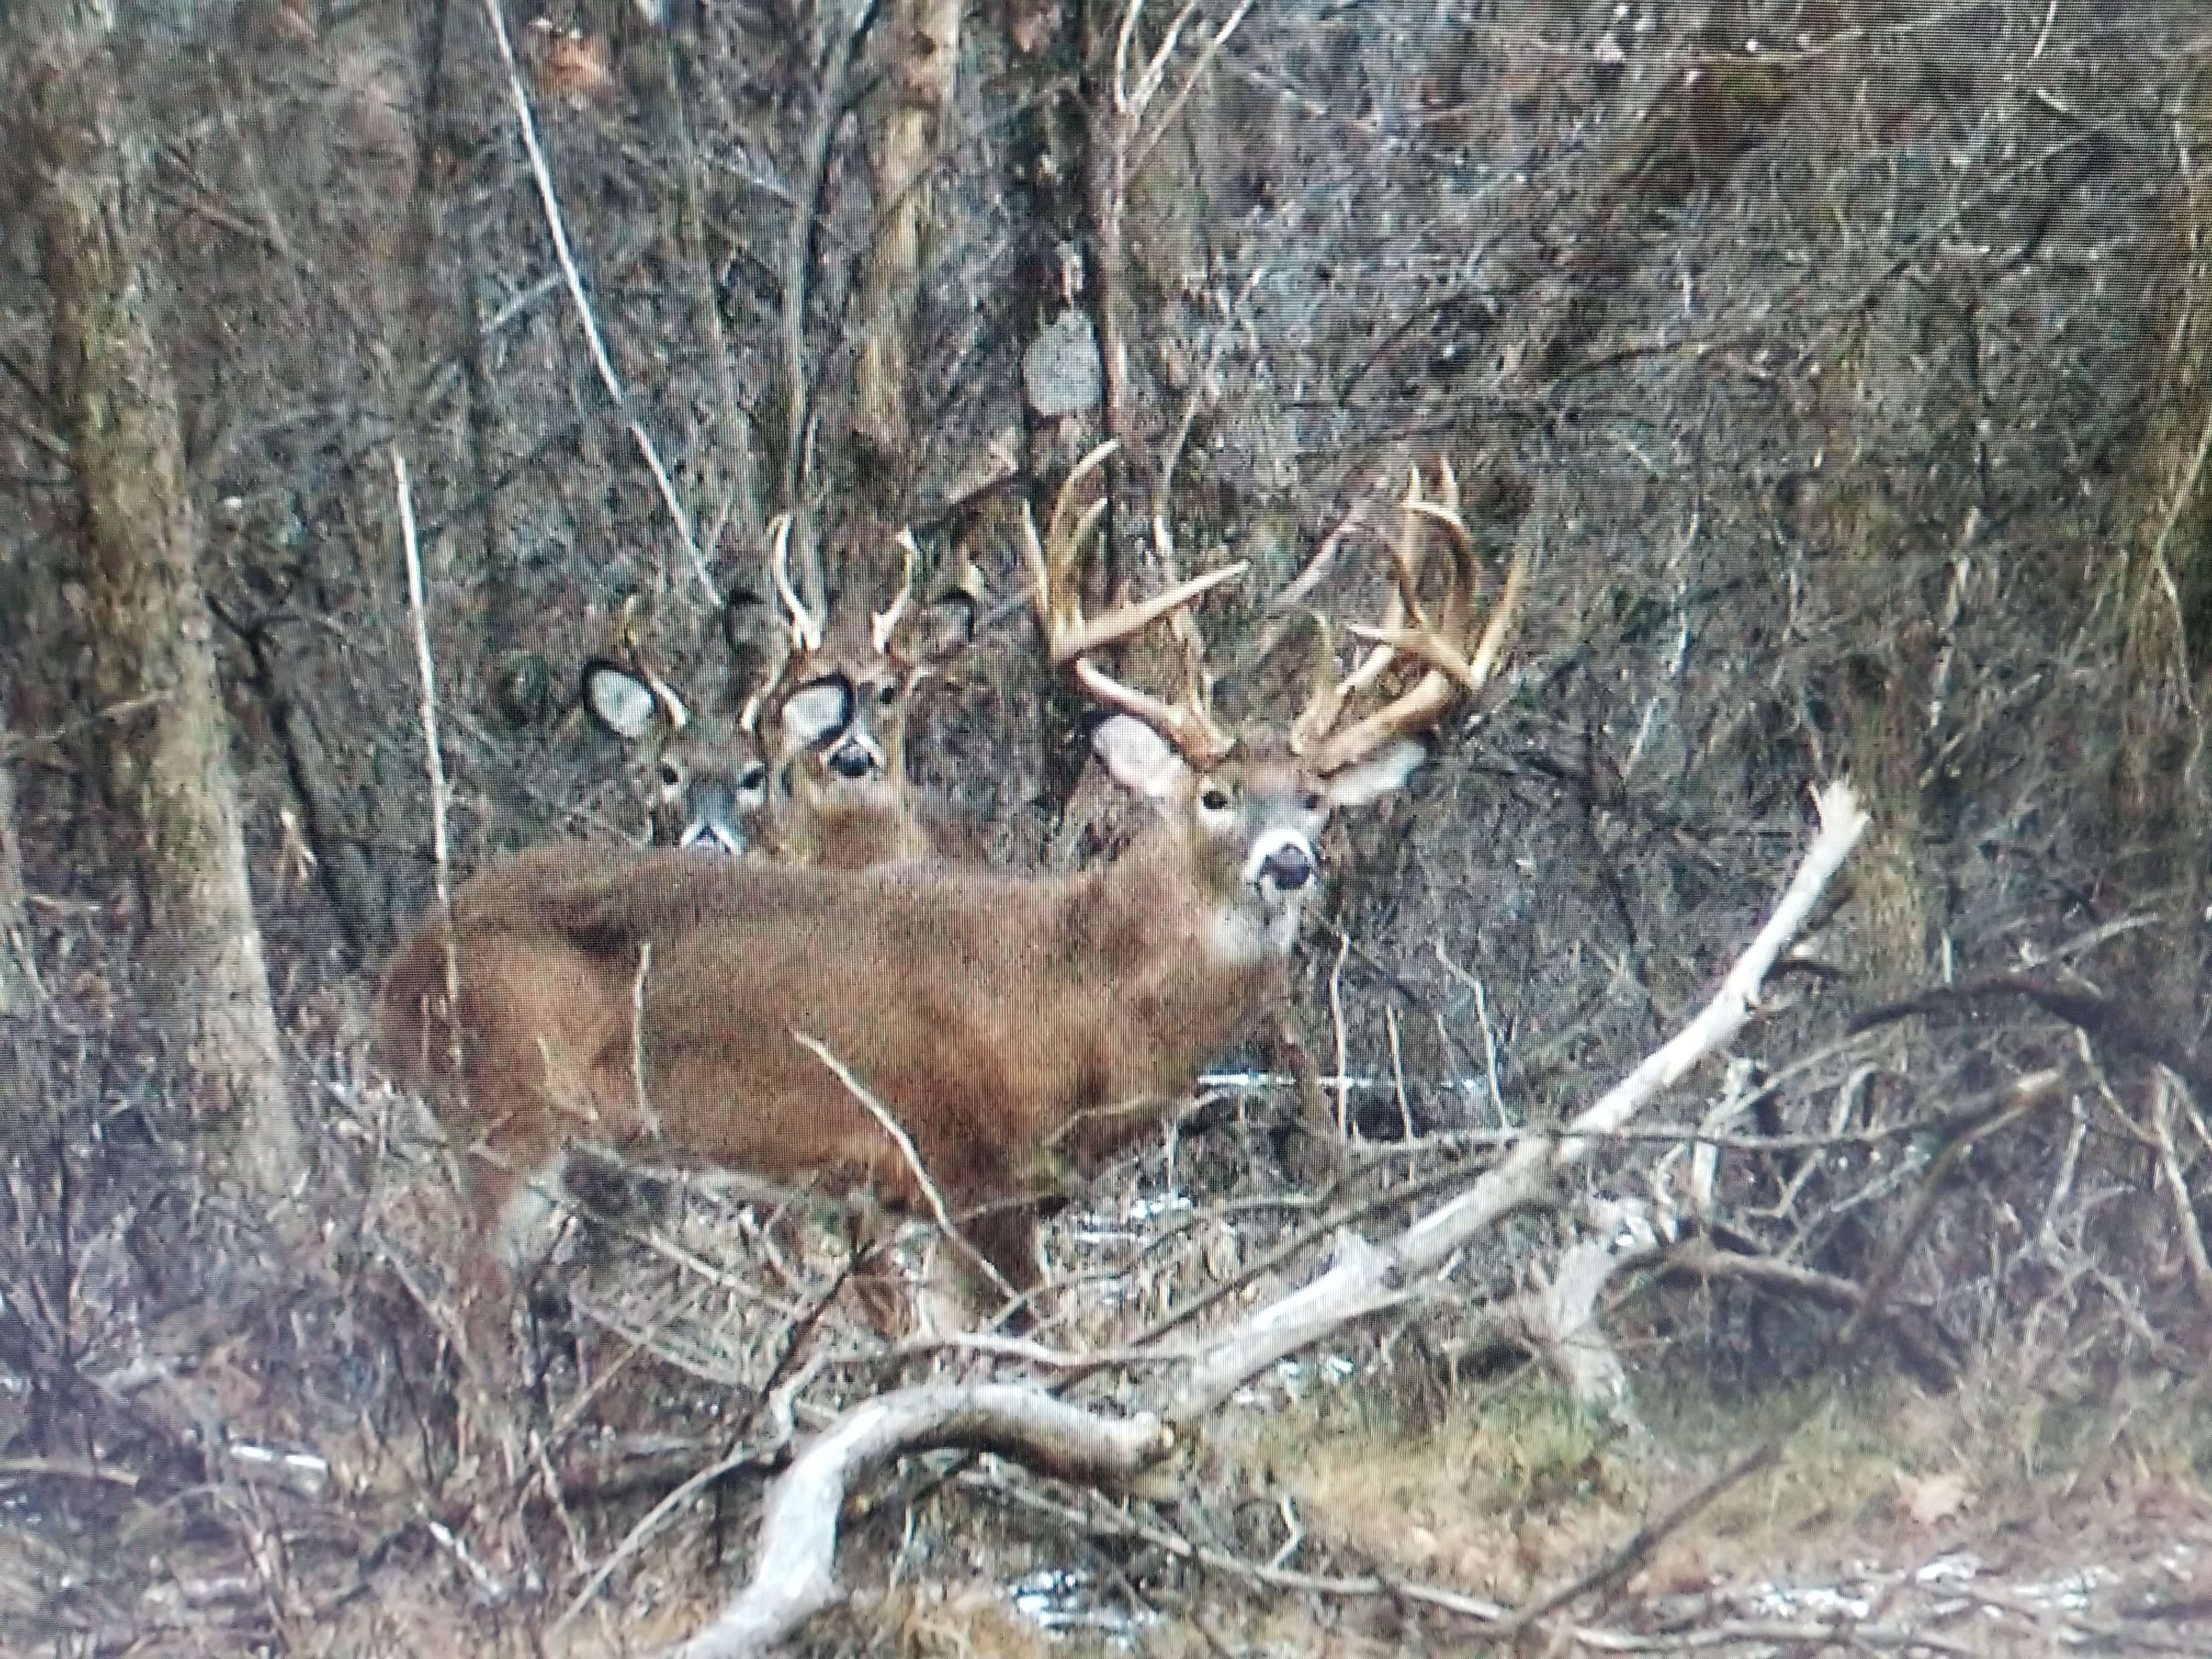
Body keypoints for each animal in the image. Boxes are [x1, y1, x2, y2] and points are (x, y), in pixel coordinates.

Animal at [376, 455, 1522, 1353]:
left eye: (1317, 798)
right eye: (1216, 794)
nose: (1286, 862)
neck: (1079, 990)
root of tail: (398, 964)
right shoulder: (964, 1168)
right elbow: (1033, 1354)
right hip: (505, 1111)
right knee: (468, 1307)